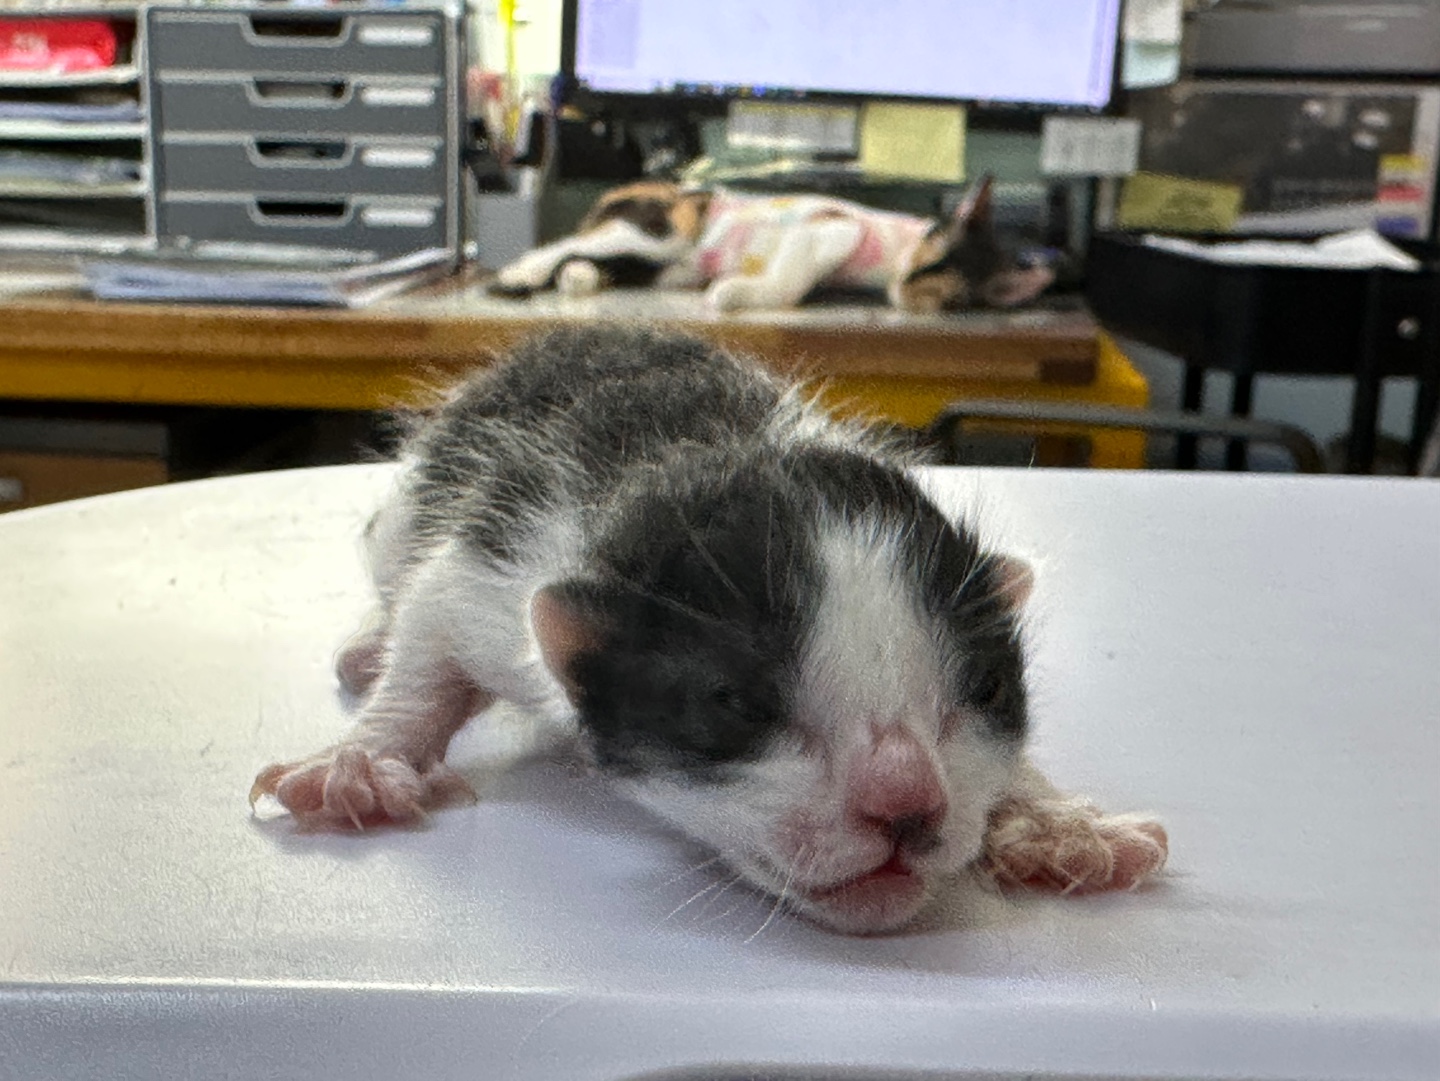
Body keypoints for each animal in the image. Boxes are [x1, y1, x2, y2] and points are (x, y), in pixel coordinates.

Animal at [253, 325, 1163, 932]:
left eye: (984, 689)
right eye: (737, 703)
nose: (905, 805)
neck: (704, 456)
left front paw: (1053, 817)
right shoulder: (496, 559)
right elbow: (430, 626)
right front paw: (361, 758)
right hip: (414, 496)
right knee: (393, 560)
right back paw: (367, 643)